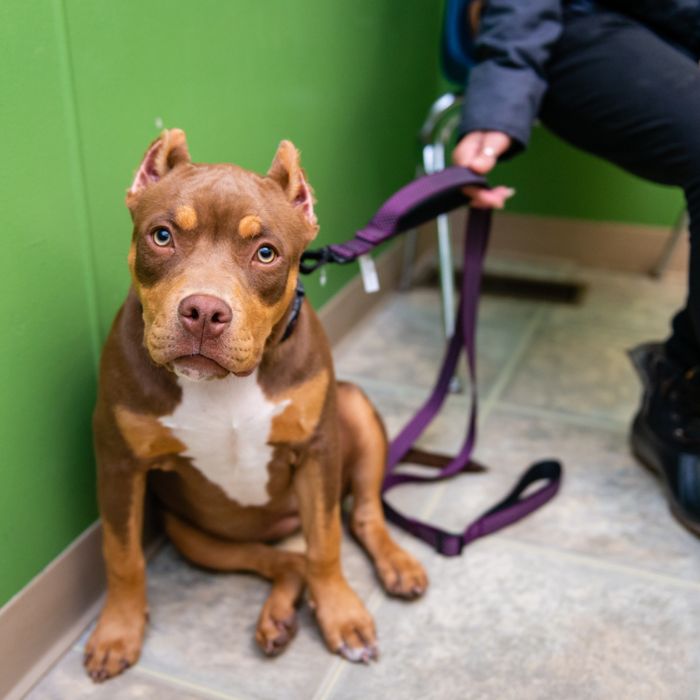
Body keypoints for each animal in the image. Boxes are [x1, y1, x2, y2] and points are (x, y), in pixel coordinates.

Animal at [85, 129, 430, 680]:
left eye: (266, 253)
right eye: (162, 236)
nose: (204, 311)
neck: (224, 384)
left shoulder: (317, 449)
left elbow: (327, 543)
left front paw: (343, 616)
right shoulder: (119, 464)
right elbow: (121, 553)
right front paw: (117, 631)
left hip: (351, 406)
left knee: (357, 517)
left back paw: (396, 564)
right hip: (198, 538)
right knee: (286, 563)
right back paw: (278, 620)